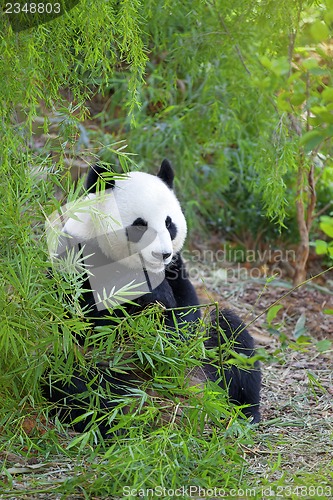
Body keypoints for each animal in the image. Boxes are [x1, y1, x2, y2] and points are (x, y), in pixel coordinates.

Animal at [44, 158, 260, 436]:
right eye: (140, 224)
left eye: (169, 223)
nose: (162, 254)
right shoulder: (77, 258)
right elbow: (84, 320)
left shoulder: (176, 268)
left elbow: (186, 317)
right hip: (91, 364)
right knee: (74, 379)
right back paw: (112, 424)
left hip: (207, 361)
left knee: (232, 337)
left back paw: (244, 413)